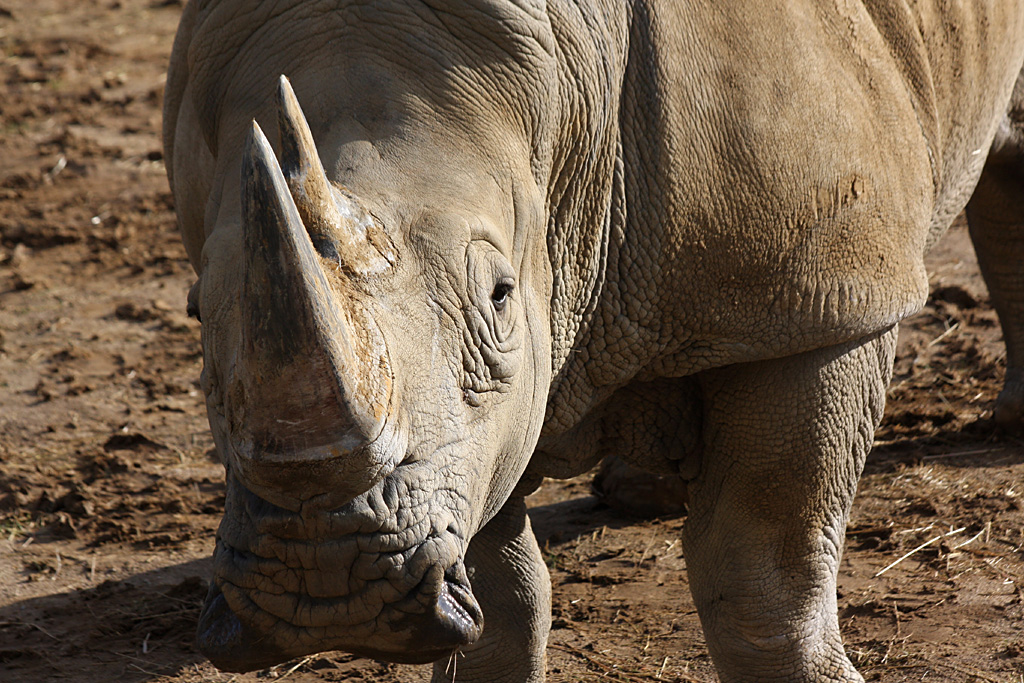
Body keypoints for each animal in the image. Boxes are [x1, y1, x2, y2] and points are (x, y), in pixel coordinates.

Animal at [162, 0, 1024, 680]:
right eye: (199, 313)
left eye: (500, 297)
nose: (328, 589)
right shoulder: (477, 433)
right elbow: (505, 597)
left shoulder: (820, 297)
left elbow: (762, 572)